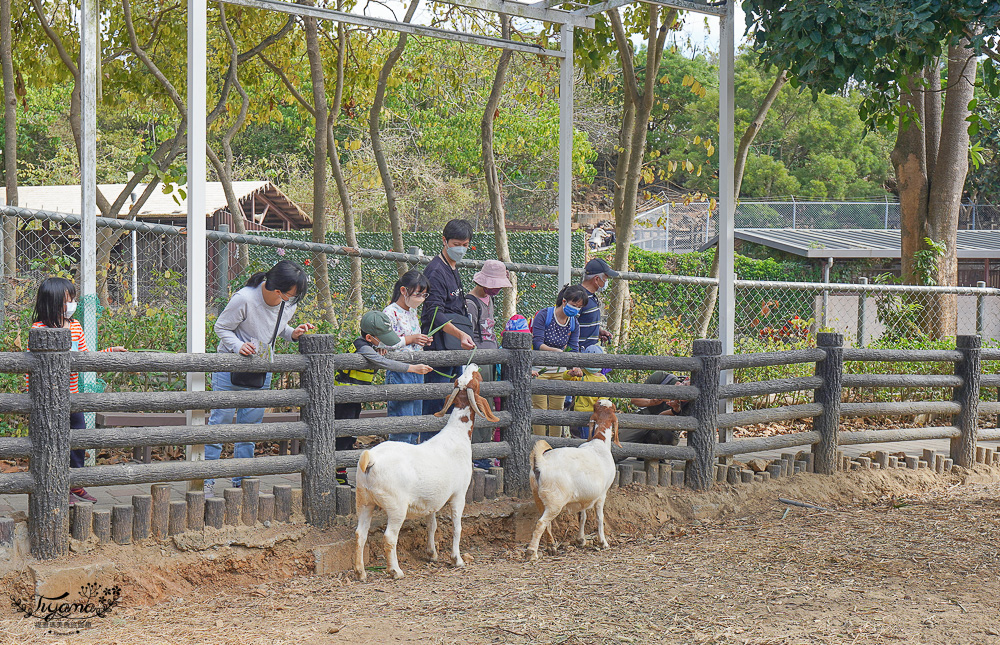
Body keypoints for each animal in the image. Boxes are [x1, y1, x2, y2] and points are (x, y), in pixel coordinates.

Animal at [354, 364, 498, 580]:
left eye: (463, 379)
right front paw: (457, 559)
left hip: (364, 500)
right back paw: (395, 571)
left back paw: (360, 572)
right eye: (476, 379)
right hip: (396, 506)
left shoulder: (432, 499)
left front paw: (432, 553)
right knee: (389, 537)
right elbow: (457, 527)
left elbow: (432, 525)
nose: (473, 365)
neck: (457, 436)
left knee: (360, 534)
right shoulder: (459, 494)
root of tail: (370, 459)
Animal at [528, 400, 620, 560]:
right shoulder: (602, 494)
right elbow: (599, 517)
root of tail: (541, 463)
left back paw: (551, 547)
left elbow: (582, 516)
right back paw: (532, 552)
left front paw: (581, 540)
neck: (599, 442)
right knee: (541, 523)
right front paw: (603, 542)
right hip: (555, 500)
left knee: (546, 523)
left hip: (538, 497)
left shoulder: (583, 496)